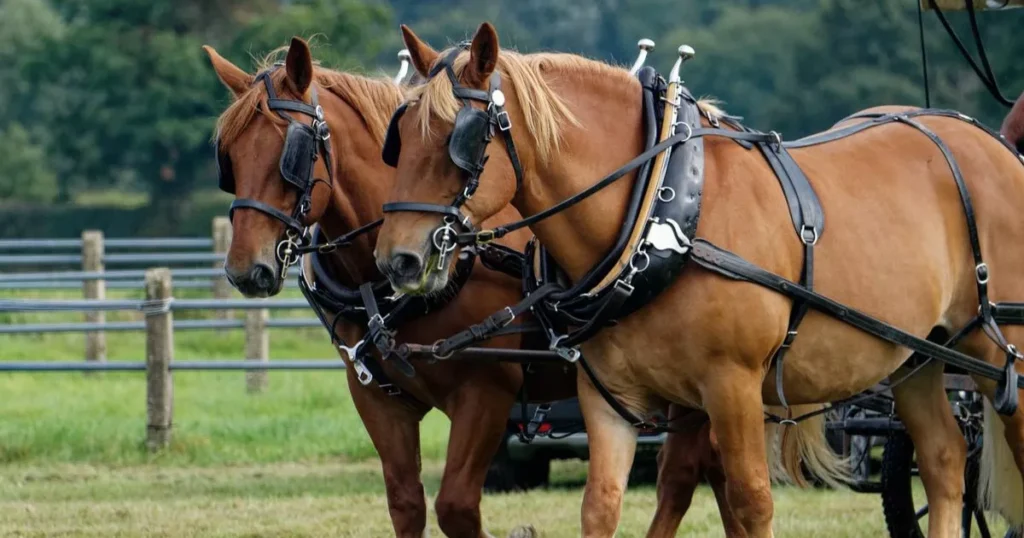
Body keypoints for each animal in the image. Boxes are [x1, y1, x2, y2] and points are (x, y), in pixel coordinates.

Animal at [203, 37, 770, 536]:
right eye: (229, 156)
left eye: (292, 151)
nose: (244, 269)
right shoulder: (377, 398)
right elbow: (407, 504)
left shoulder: (486, 390)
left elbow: (456, 506)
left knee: (693, 476)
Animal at [378, 22, 1024, 536]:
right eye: (399, 138)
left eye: (460, 139)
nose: (396, 261)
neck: (661, 212)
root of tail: (993, 146)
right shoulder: (610, 398)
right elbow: (601, 506)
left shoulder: (733, 387)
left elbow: (751, 503)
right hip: (917, 356)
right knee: (944, 462)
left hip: (1001, 350)